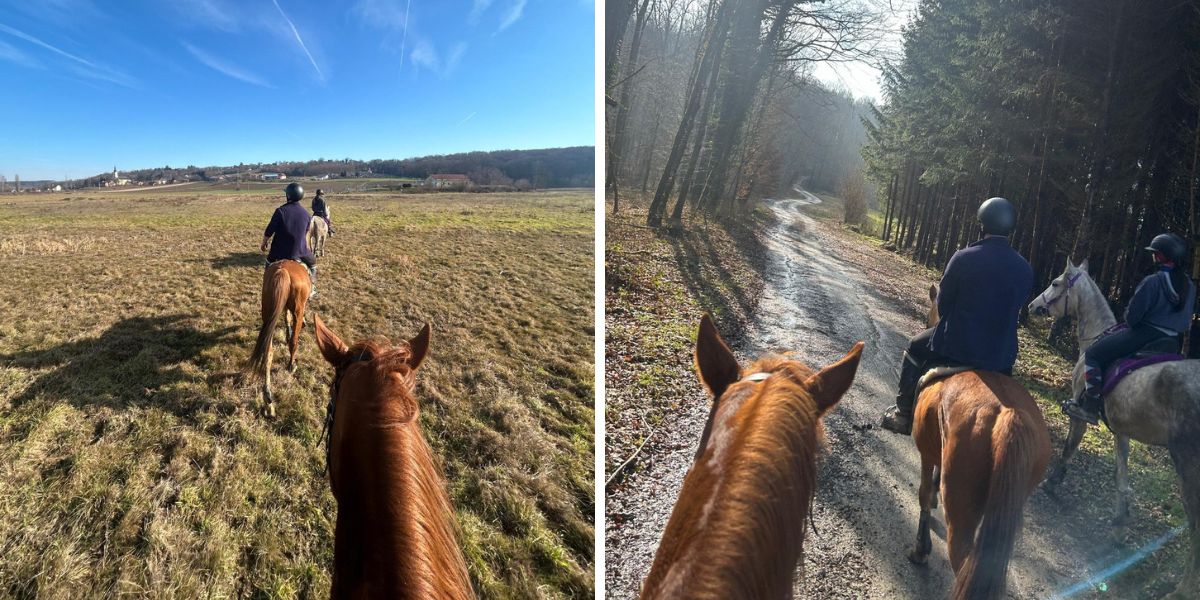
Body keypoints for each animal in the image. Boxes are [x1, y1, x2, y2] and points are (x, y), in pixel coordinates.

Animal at [1027, 256, 1200, 595]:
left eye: (1056, 282)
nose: (1033, 305)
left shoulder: (1079, 414)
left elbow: (1069, 449)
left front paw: (1052, 482)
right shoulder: (1122, 431)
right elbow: (1122, 478)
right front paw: (1120, 525)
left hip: (1187, 465)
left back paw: (1182, 590)